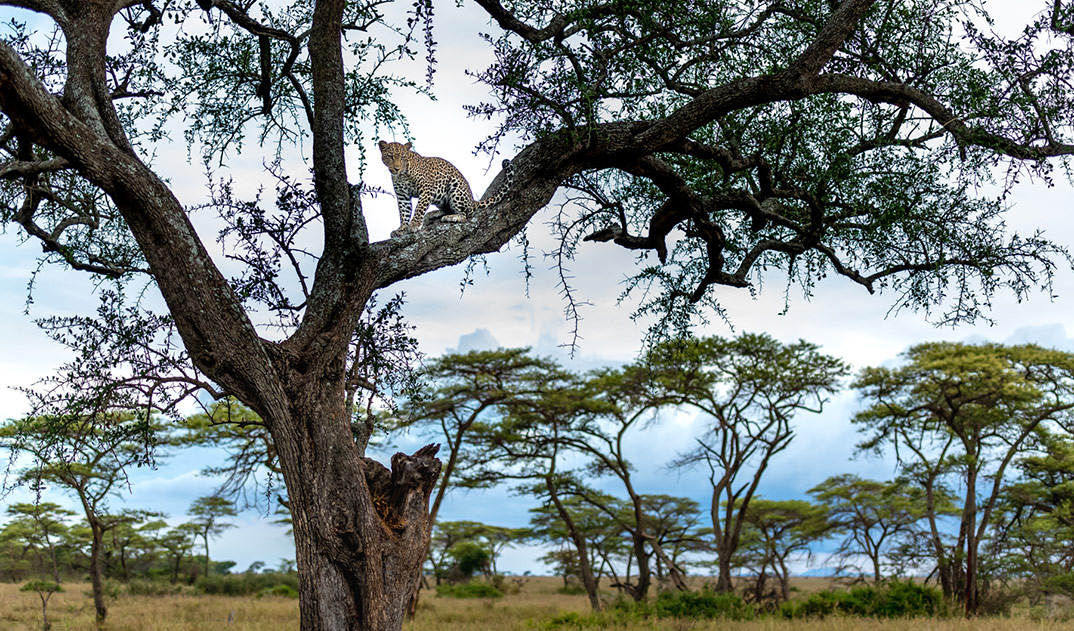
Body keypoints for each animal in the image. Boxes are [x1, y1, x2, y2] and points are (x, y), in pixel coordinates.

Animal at [378, 140, 513, 237]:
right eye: (390, 156)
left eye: (402, 157)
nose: (396, 168)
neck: (402, 175)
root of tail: (472, 201)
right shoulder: (402, 196)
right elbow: (404, 213)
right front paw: (401, 228)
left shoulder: (426, 189)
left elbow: (419, 208)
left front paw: (414, 224)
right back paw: (433, 214)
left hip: (456, 188)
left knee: (466, 214)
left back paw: (453, 217)